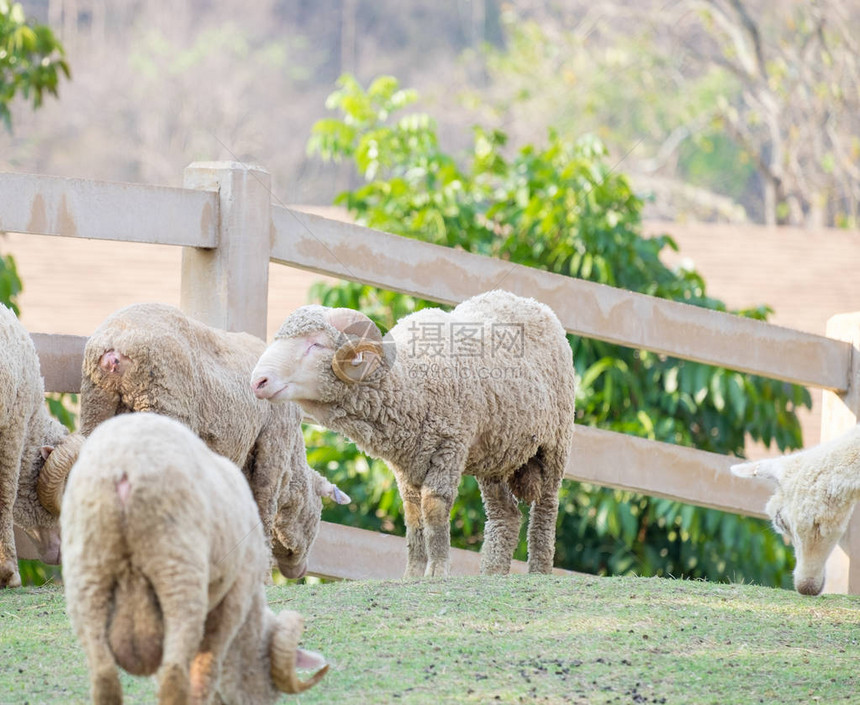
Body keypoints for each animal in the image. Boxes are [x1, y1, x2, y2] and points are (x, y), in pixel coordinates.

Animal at [39, 302, 350, 576]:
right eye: (318, 510)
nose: (299, 571)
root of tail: (113, 349)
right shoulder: (274, 444)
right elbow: (262, 506)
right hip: (162, 407)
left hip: (98, 403)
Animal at [61, 412, 330, 704]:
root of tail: (125, 470)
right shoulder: (234, 595)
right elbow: (205, 669)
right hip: (178, 567)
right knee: (173, 674)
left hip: (87, 571)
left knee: (104, 676)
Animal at [252, 288, 576, 576]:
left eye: (316, 344)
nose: (258, 381)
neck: (411, 383)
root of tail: (530, 302)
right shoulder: (406, 464)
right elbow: (412, 514)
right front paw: (413, 574)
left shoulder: (450, 446)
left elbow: (433, 507)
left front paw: (437, 571)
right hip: (496, 453)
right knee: (504, 515)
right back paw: (492, 573)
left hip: (555, 442)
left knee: (546, 508)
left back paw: (539, 570)